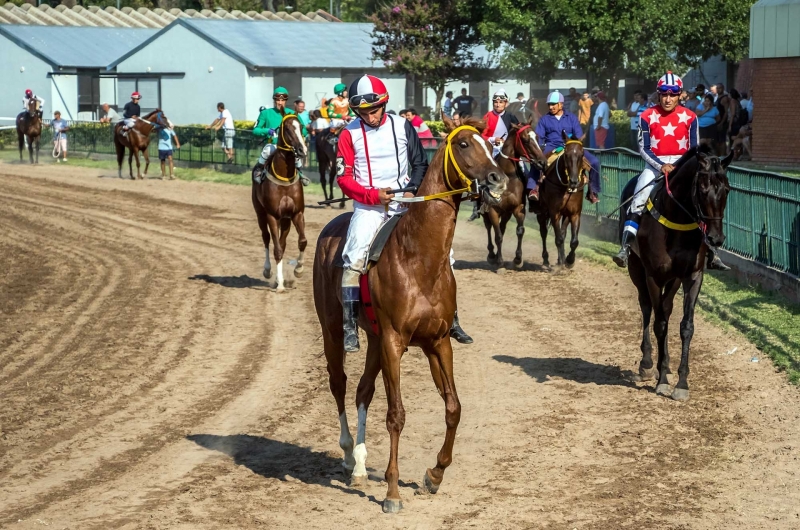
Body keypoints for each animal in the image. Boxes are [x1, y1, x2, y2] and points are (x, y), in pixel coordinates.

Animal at [253, 113, 310, 290]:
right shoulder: (272, 215)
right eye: (288, 129)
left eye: (300, 126)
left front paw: (298, 269)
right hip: (260, 213)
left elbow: (302, 241)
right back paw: (268, 271)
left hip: (285, 220)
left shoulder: (297, 213)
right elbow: (276, 248)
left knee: (282, 243)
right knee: (266, 238)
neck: (284, 177)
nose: (302, 150)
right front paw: (280, 286)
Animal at [312, 114, 506, 512]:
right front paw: (392, 492)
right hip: (334, 331)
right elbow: (396, 415)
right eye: (464, 144)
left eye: (490, 144)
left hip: (373, 340)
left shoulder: (437, 342)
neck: (419, 259)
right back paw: (346, 454)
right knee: (339, 383)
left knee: (362, 390)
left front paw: (435, 475)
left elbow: (453, 407)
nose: (498, 180)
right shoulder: (393, 342)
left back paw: (359, 465)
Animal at [484, 118, 548, 268]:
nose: (542, 162)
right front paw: (500, 261)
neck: (507, 177)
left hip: (506, 212)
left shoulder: (518, 208)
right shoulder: (493, 209)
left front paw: (518, 259)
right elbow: (498, 235)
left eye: (537, 137)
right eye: (525, 139)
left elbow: (519, 231)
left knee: (502, 227)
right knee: (489, 226)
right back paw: (492, 255)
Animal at [536, 132, 592, 266]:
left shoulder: (574, 214)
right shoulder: (554, 212)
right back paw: (546, 258)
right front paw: (561, 261)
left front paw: (569, 260)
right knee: (543, 232)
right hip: (541, 212)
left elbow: (573, 241)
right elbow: (558, 239)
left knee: (562, 232)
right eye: (566, 155)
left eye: (582, 154)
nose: (574, 181)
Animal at [620, 145, 736, 400]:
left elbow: (686, 326)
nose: (715, 238)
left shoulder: (692, 276)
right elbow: (660, 323)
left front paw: (682, 383)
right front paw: (662, 378)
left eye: (727, 189)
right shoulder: (654, 275)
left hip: (673, 279)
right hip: (636, 268)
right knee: (647, 308)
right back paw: (647, 364)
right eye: (702, 189)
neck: (677, 221)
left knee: (665, 306)